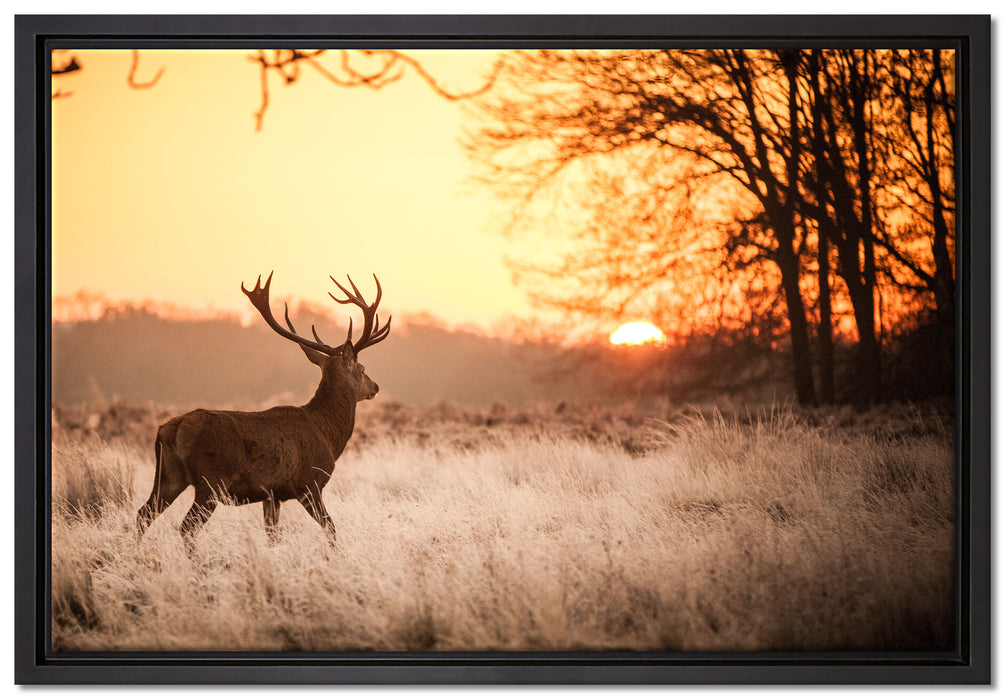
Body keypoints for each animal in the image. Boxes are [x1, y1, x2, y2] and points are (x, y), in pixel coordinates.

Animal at [136, 271, 390, 545]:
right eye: (362, 369)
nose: (375, 386)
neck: (327, 433)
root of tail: (172, 429)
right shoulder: (309, 484)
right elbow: (331, 527)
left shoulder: (271, 494)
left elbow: (272, 535)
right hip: (211, 480)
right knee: (186, 526)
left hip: (167, 476)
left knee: (143, 514)